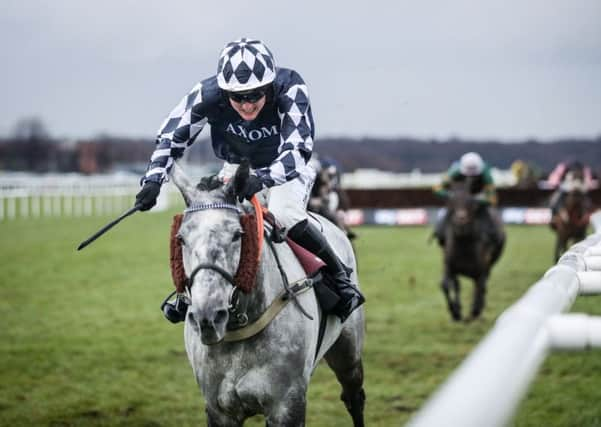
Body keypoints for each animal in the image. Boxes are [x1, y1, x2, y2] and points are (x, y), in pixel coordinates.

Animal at [169, 162, 366, 426]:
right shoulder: (219, 410)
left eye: (237, 234)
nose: (208, 317)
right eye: (180, 238)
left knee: (354, 397)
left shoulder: (287, 405)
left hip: (348, 354)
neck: (240, 327)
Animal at [436, 179, 502, 322]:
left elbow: (480, 286)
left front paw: (475, 310)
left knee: (481, 286)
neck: (464, 244)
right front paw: (455, 312)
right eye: (451, 201)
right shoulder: (449, 265)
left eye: (470, 202)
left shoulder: (482, 268)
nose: (461, 220)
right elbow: (446, 285)